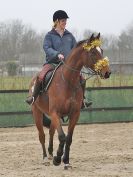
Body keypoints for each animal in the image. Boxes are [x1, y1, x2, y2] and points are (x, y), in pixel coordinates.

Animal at [28, 32, 111, 169]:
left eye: (102, 50)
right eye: (93, 52)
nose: (107, 72)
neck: (67, 81)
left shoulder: (74, 114)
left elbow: (69, 138)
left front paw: (66, 161)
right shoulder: (55, 113)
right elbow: (62, 136)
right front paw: (58, 159)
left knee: (51, 132)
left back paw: (50, 154)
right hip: (37, 113)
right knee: (42, 135)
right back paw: (46, 158)